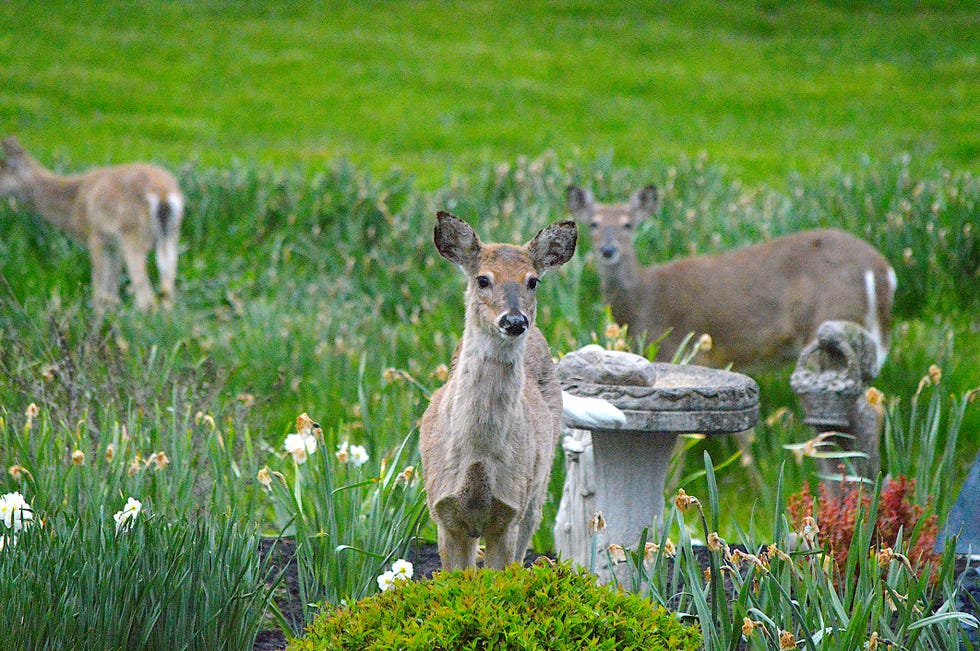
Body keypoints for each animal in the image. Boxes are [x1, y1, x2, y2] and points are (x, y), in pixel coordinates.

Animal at [0, 136, 184, 314]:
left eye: (1, 170)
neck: (75, 202)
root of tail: (163, 193)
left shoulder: (95, 236)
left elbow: (98, 292)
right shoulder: (114, 245)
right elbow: (111, 292)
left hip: (133, 235)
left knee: (146, 299)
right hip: (171, 235)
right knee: (167, 291)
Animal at [420, 211, 602, 571]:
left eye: (533, 281)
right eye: (482, 279)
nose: (515, 321)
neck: (477, 457)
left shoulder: (509, 511)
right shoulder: (444, 512)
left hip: (537, 487)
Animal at [566, 184, 897, 373]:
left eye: (628, 225)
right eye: (593, 224)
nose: (608, 250)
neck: (640, 303)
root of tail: (881, 270)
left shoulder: (676, 350)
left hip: (830, 320)